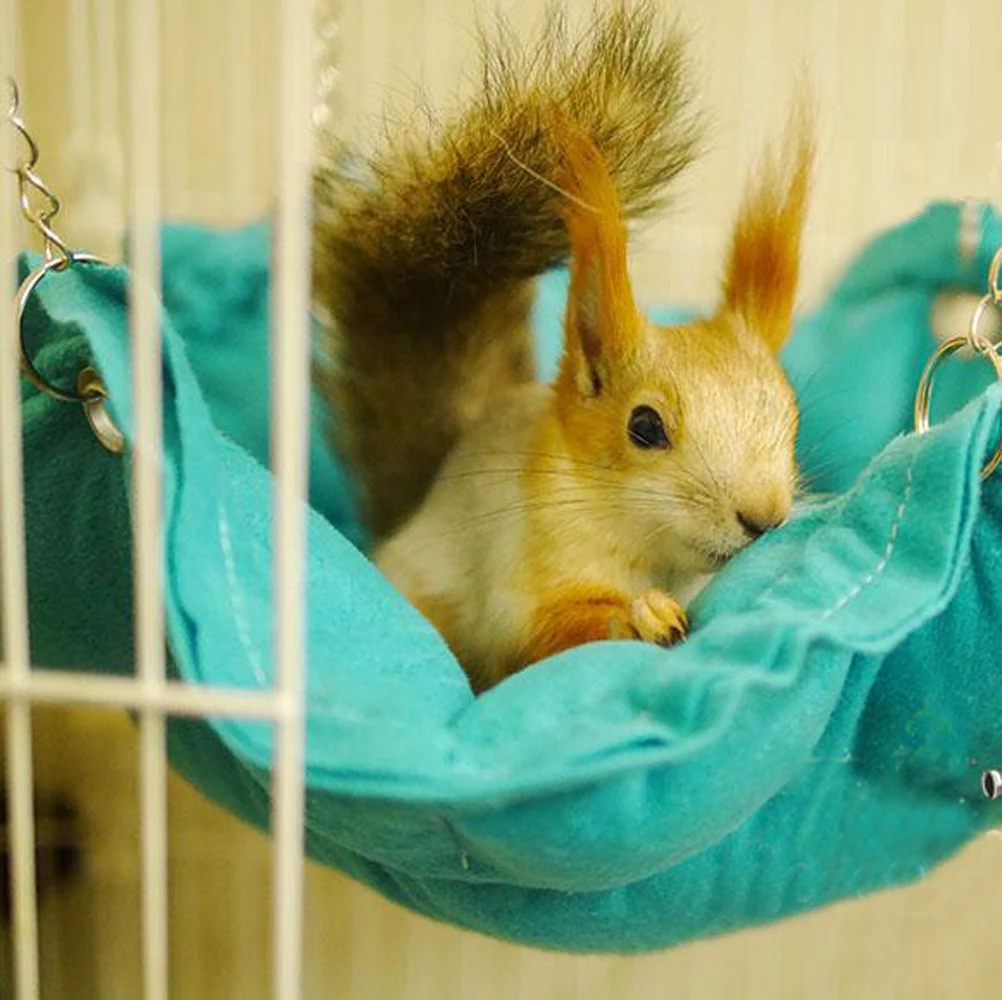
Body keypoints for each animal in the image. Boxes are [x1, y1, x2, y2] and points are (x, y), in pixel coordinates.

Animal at [313, 4, 813, 691]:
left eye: (791, 416)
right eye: (645, 426)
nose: (764, 519)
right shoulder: (529, 562)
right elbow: (540, 634)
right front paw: (641, 614)